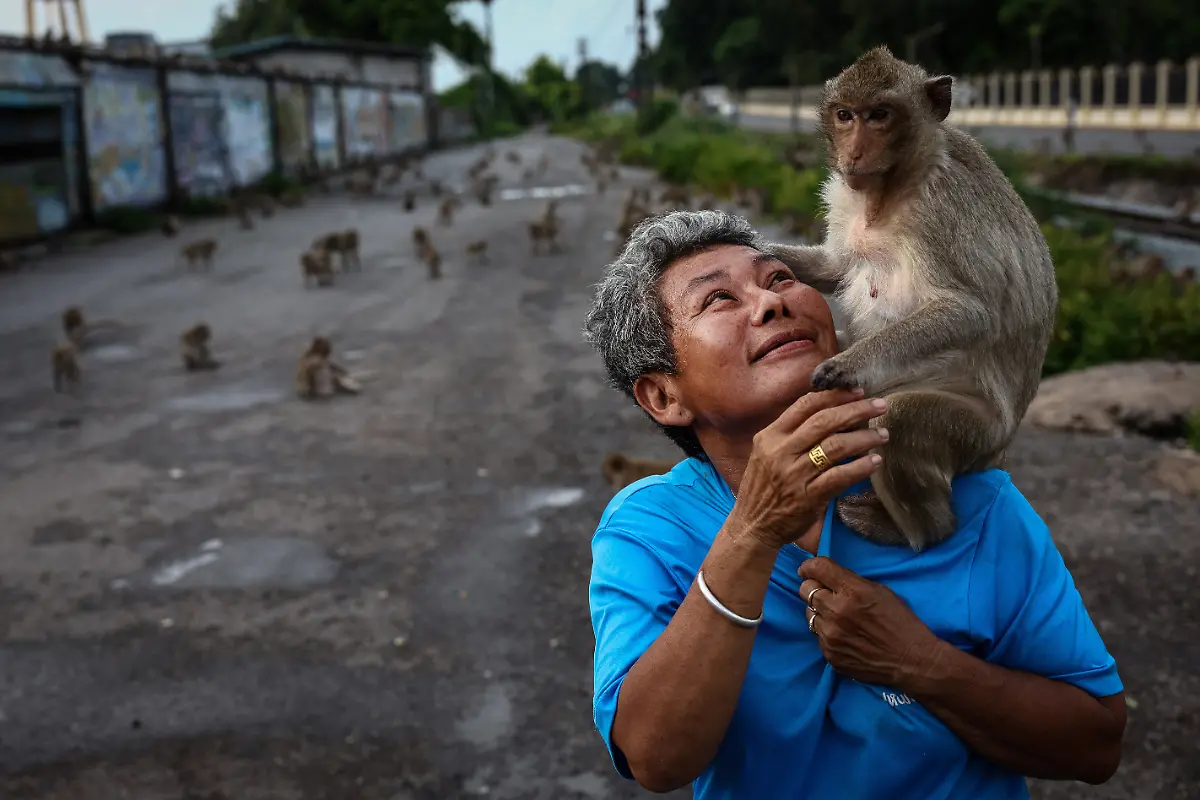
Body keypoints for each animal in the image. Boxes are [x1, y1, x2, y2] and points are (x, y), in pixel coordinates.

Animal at [761, 46, 1057, 552]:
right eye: (845, 115)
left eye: (880, 115)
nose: (854, 151)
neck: (889, 190)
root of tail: (1001, 448)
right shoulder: (845, 195)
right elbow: (834, 266)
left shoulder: (941, 208)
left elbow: (969, 312)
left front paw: (848, 364)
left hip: (976, 435)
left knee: (900, 421)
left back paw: (913, 530)